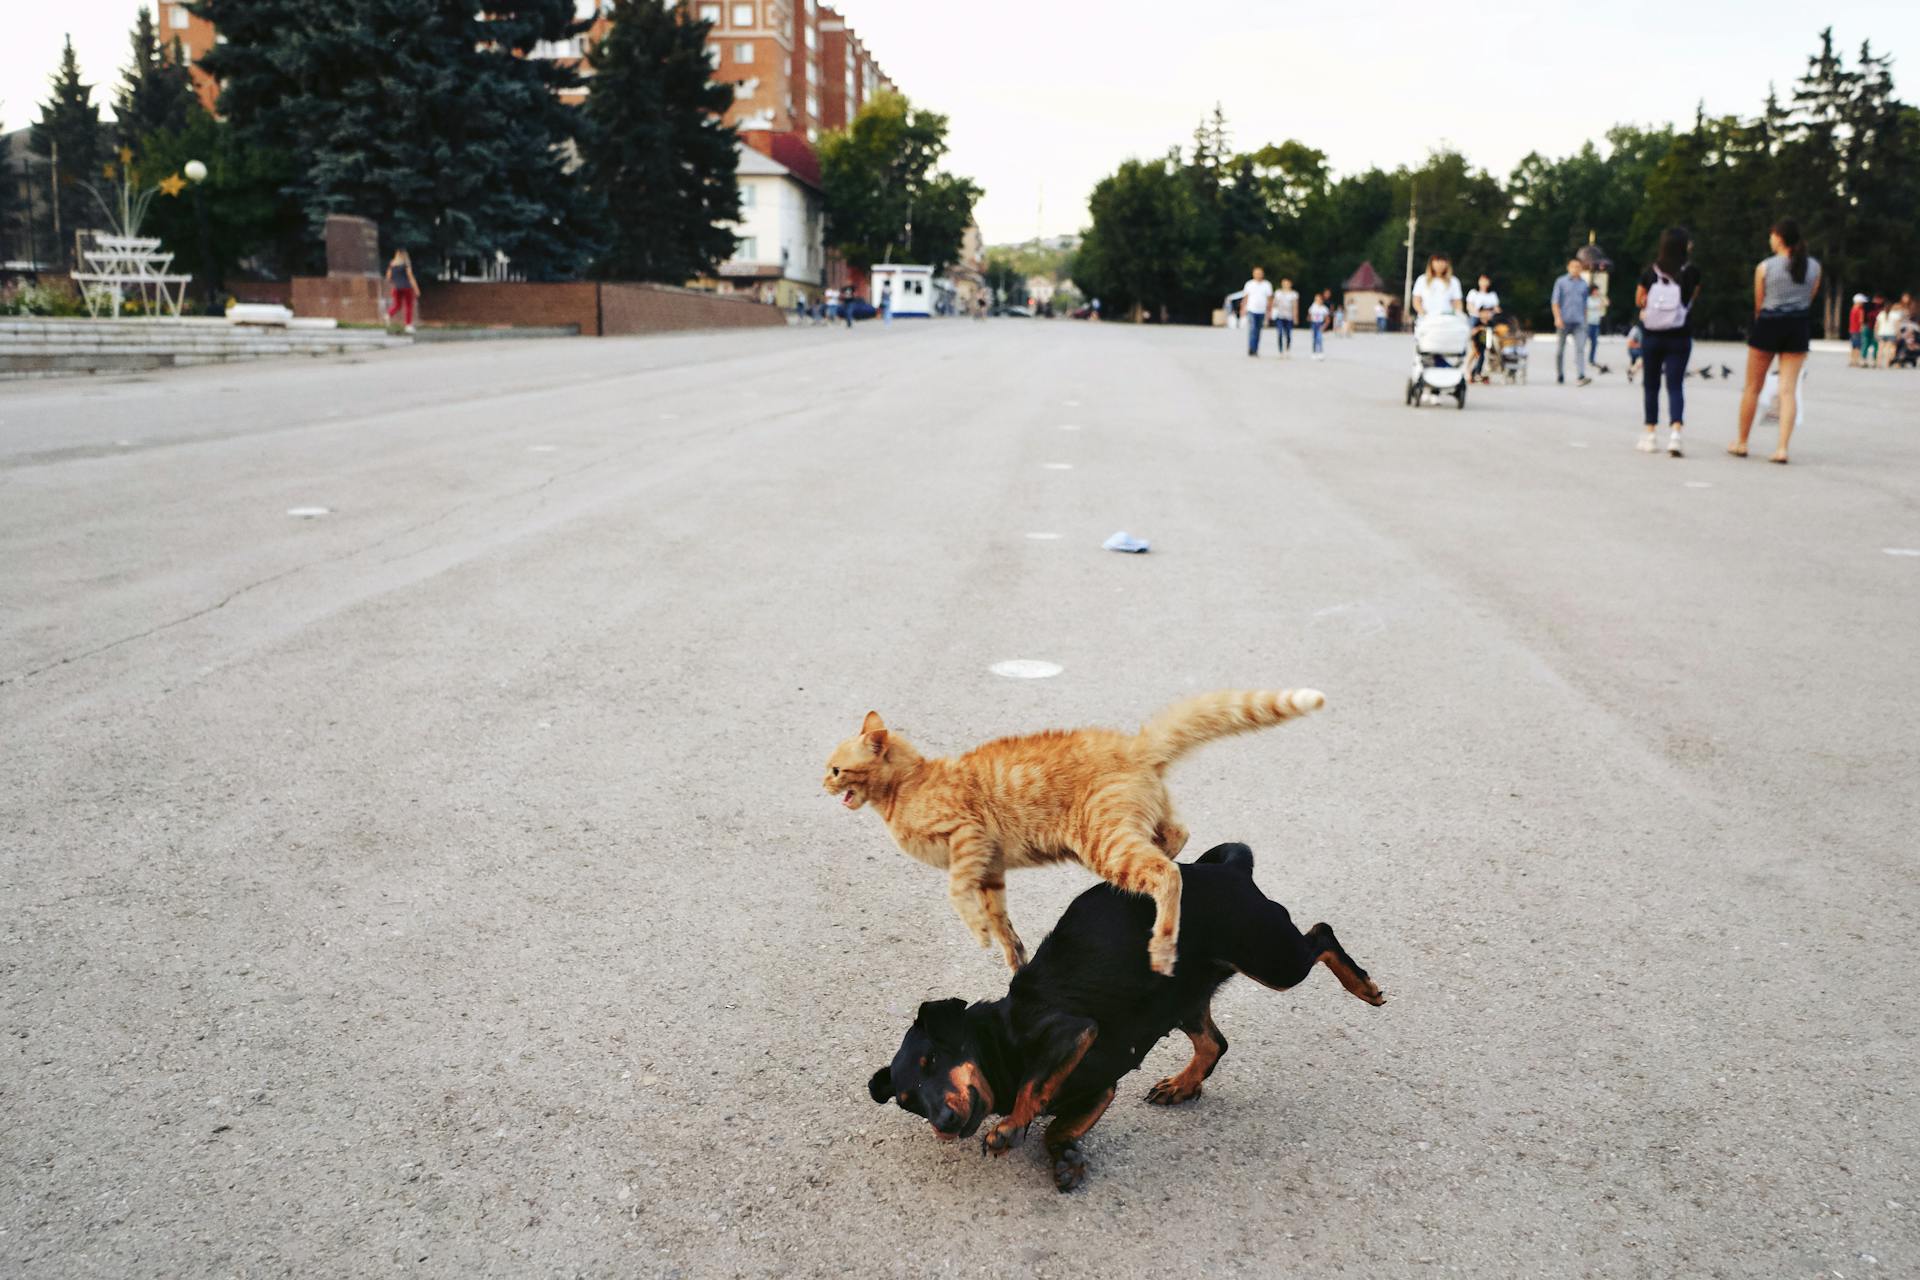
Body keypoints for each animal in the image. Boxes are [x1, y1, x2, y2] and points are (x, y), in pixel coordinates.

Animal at [817, 694, 1328, 974]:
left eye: (837, 769)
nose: (821, 783)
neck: (908, 785)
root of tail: (1132, 745)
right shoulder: (991, 867)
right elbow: (1000, 918)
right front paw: (1013, 956)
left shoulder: (968, 838)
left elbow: (958, 894)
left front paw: (979, 933)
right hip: (1130, 827)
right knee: (1175, 839)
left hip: (1102, 841)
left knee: (1167, 873)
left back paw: (1162, 947)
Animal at [867, 840, 1382, 1189]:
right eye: (909, 1101)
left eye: (932, 1061)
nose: (943, 1124)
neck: (997, 1041)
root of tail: (1223, 868)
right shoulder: (1101, 1086)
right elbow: (1056, 1124)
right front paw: (1064, 1155)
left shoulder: (1072, 1033)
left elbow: (1033, 1087)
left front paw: (1012, 1127)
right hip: (1181, 998)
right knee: (1214, 1042)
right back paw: (1182, 1084)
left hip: (1272, 957)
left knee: (1320, 934)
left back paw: (1363, 987)